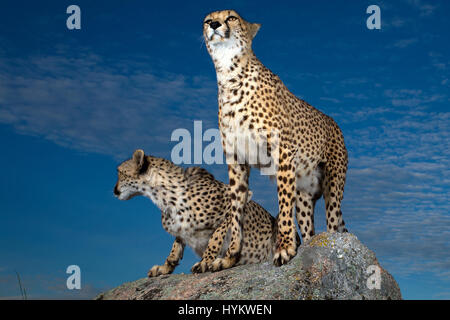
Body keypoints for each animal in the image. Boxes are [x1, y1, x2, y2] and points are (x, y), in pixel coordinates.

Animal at [114, 149, 286, 276]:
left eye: (120, 173)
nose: (114, 191)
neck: (163, 196)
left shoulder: (235, 202)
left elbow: (216, 237)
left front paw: (206, 261)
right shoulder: (180, 227)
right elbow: (176, 247)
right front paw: (165, 267)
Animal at [202, 10, 350, 268]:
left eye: (231, 17)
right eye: (207, 19)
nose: (214, 24)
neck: (229, 76)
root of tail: (334, 122)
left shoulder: (282, 153)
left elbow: (282, 206)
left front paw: (285, 248)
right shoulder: (236, 159)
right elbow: (236, 210)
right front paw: (230, 257)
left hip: (333, 186)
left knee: (332, 224)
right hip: (304, 193)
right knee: (308, 229)